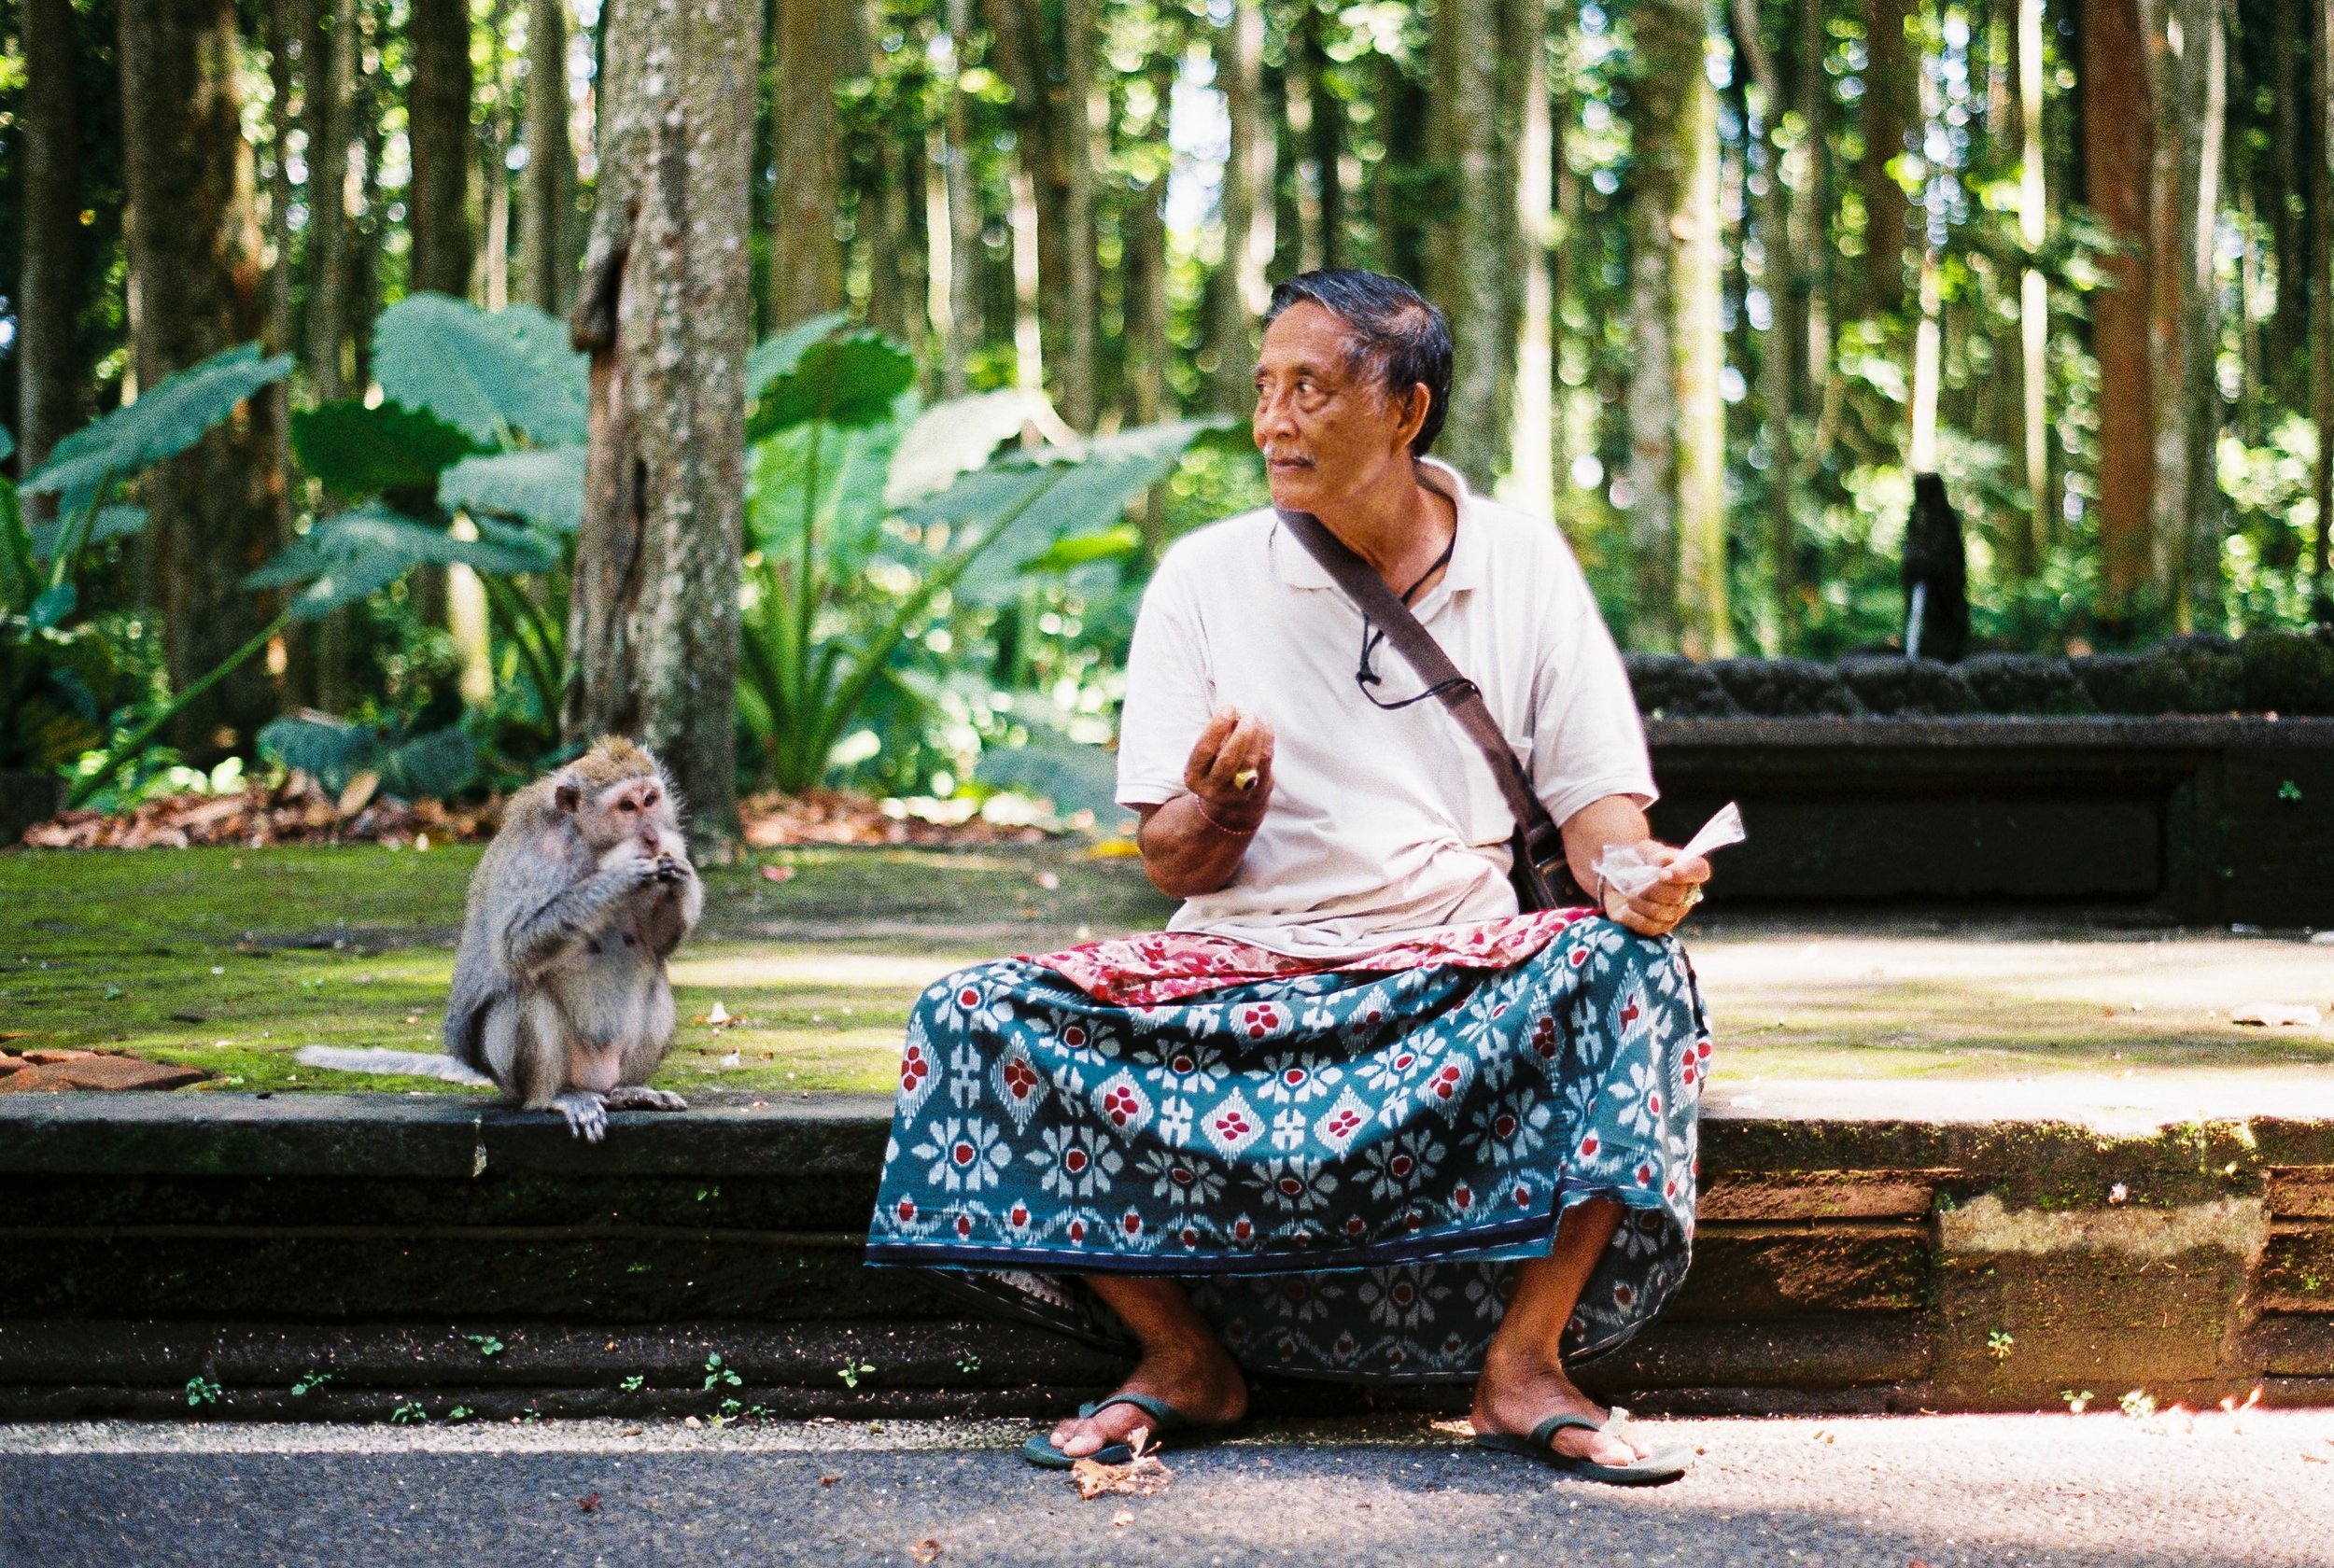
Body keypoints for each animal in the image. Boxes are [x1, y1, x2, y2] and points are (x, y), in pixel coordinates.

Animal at [301, 737, 705, 1139]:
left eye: (650, 799)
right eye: (626, 806)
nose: (652, 837)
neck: (588, 844)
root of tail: (594, 1081)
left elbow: (656, 944)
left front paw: (681, 876)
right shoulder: (535, 856)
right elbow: (517, 948)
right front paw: (621, 874)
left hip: (610, 1067)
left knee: (654, 979)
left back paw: (627, 1090)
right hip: (515, 1076)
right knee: (524, 995)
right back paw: (554, 1097)